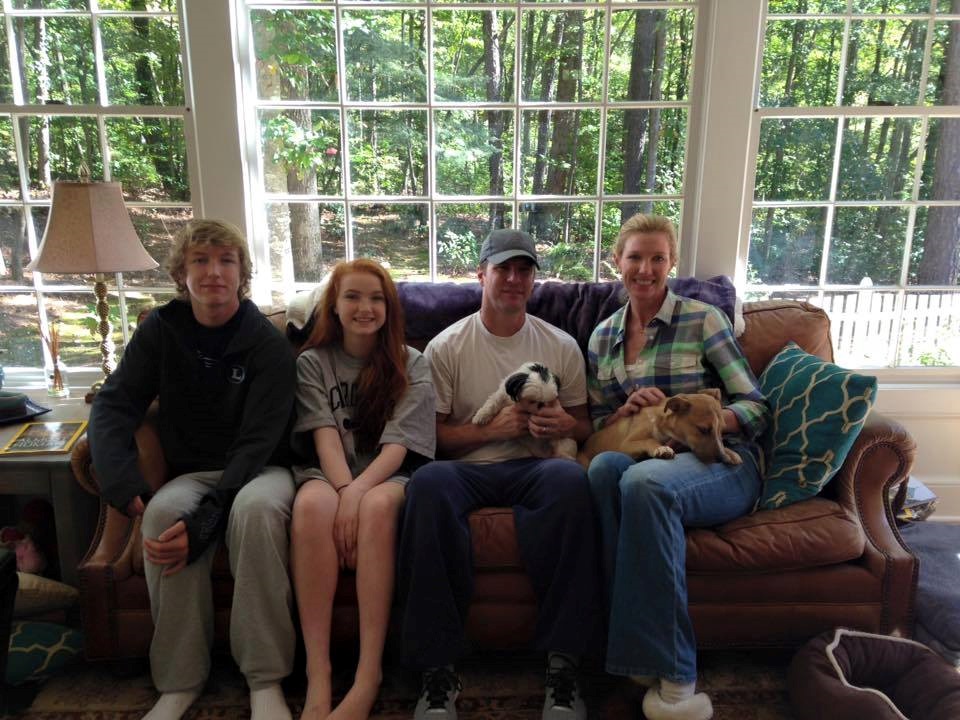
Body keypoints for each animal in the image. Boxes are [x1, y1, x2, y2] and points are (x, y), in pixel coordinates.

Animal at [577, 388, 742, 469]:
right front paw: (661, 448)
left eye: (722, 430)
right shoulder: (625, 444)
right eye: (703, 429)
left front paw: (731, 453)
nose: (721, 459)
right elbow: (648, 440)